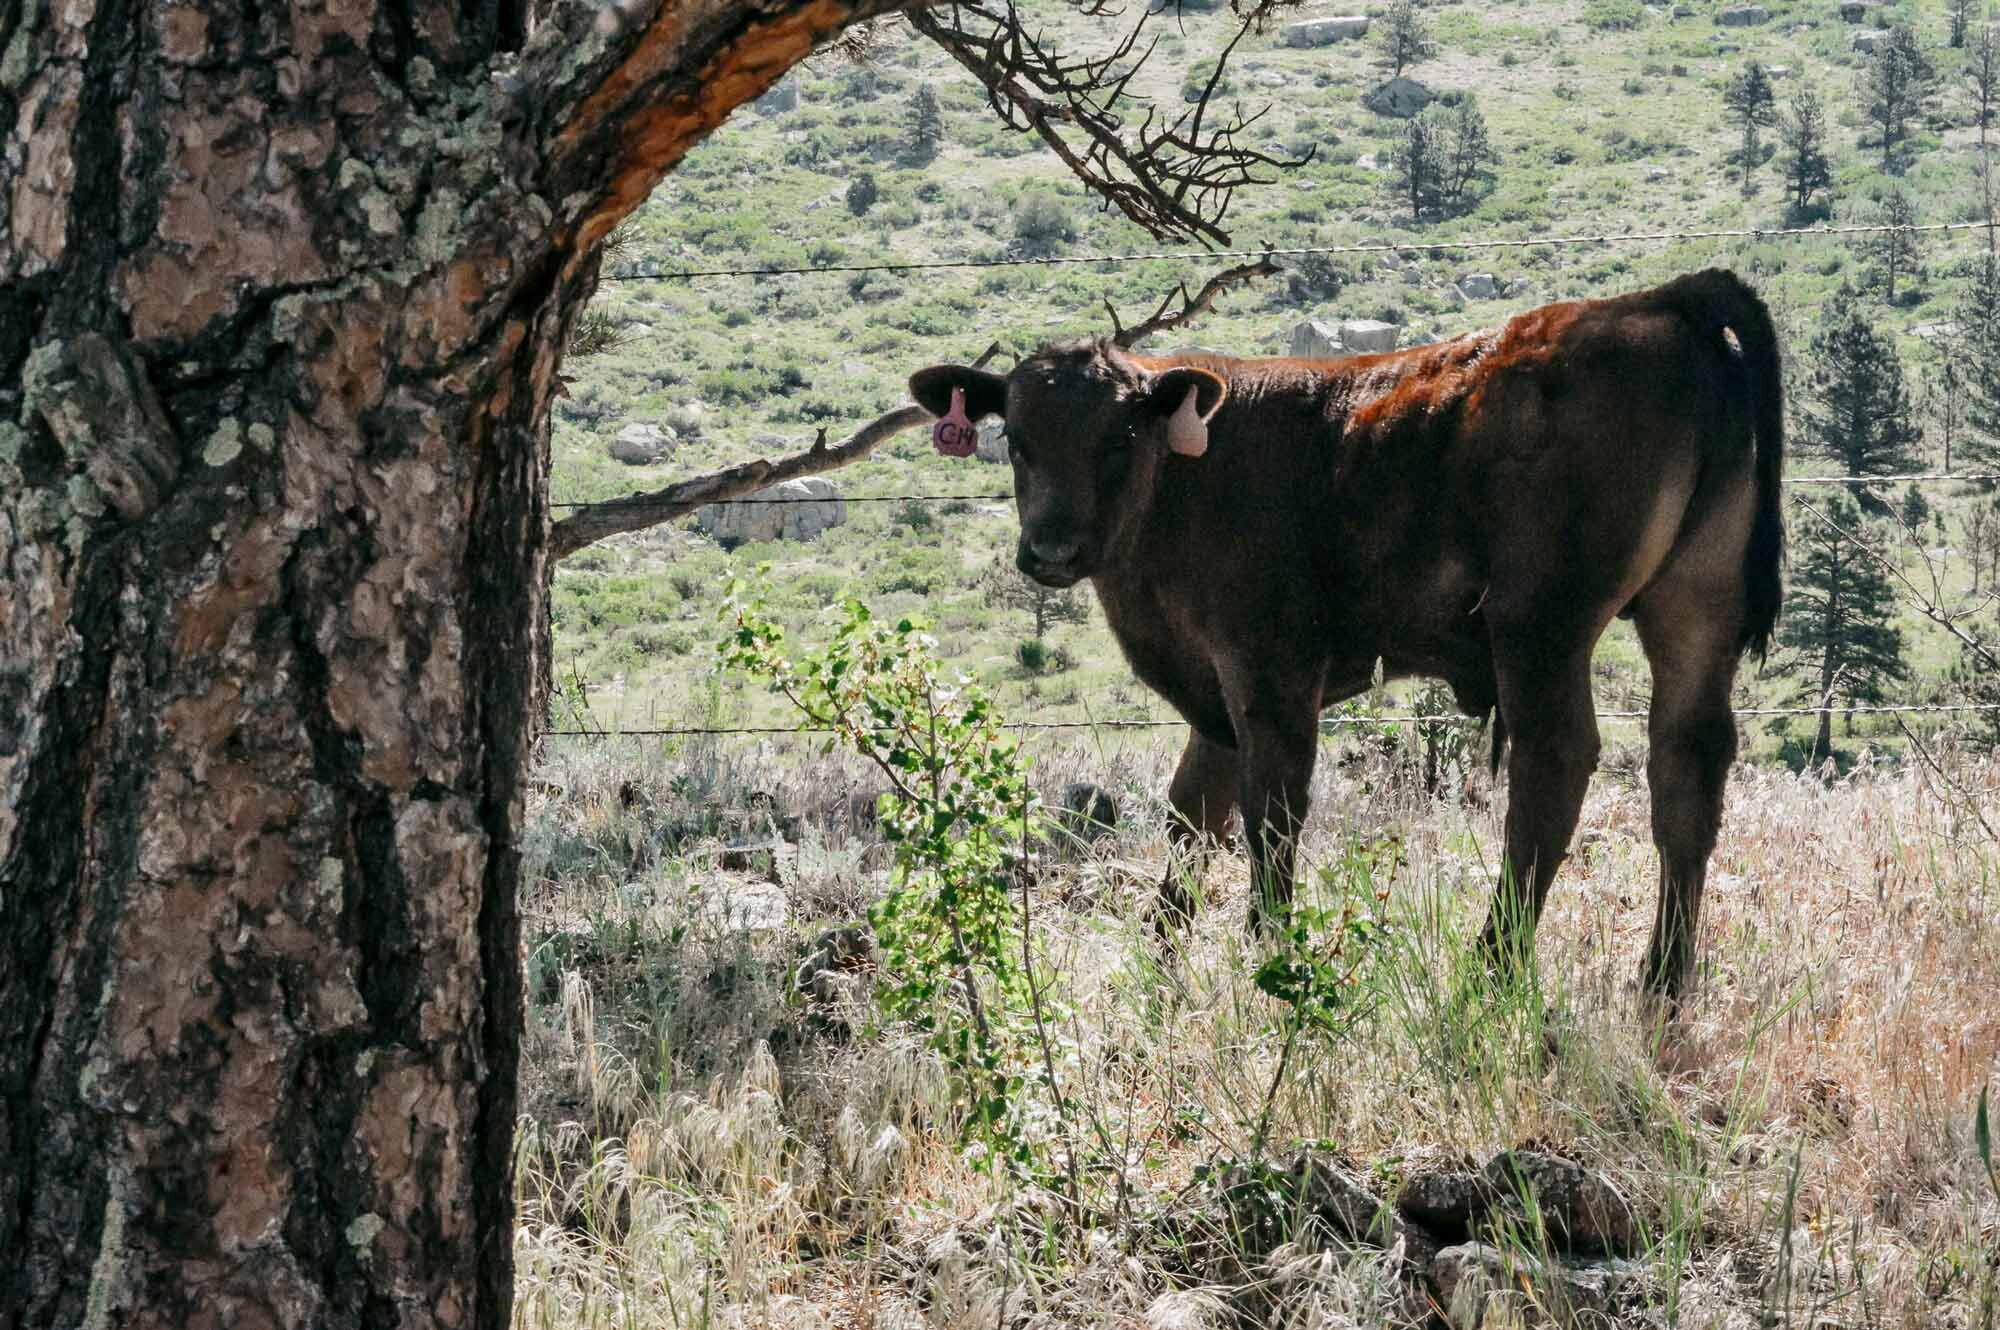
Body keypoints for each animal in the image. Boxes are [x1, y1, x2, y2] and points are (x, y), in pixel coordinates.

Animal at [916, 270, 1792, 996]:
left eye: (1118, 438)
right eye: (1016, 439)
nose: (1052, 549)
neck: (1185, 473)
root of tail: (1660, 300)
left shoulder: (1268, 670)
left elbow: (1271, 811)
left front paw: (1268, 957)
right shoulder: (1213, 695)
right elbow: (1193, 814)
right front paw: (1159, 963)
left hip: (1541, 623)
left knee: (1555, 766)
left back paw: (1494, 968)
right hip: (1694, 608)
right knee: (1686, 767)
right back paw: (1663, 981)